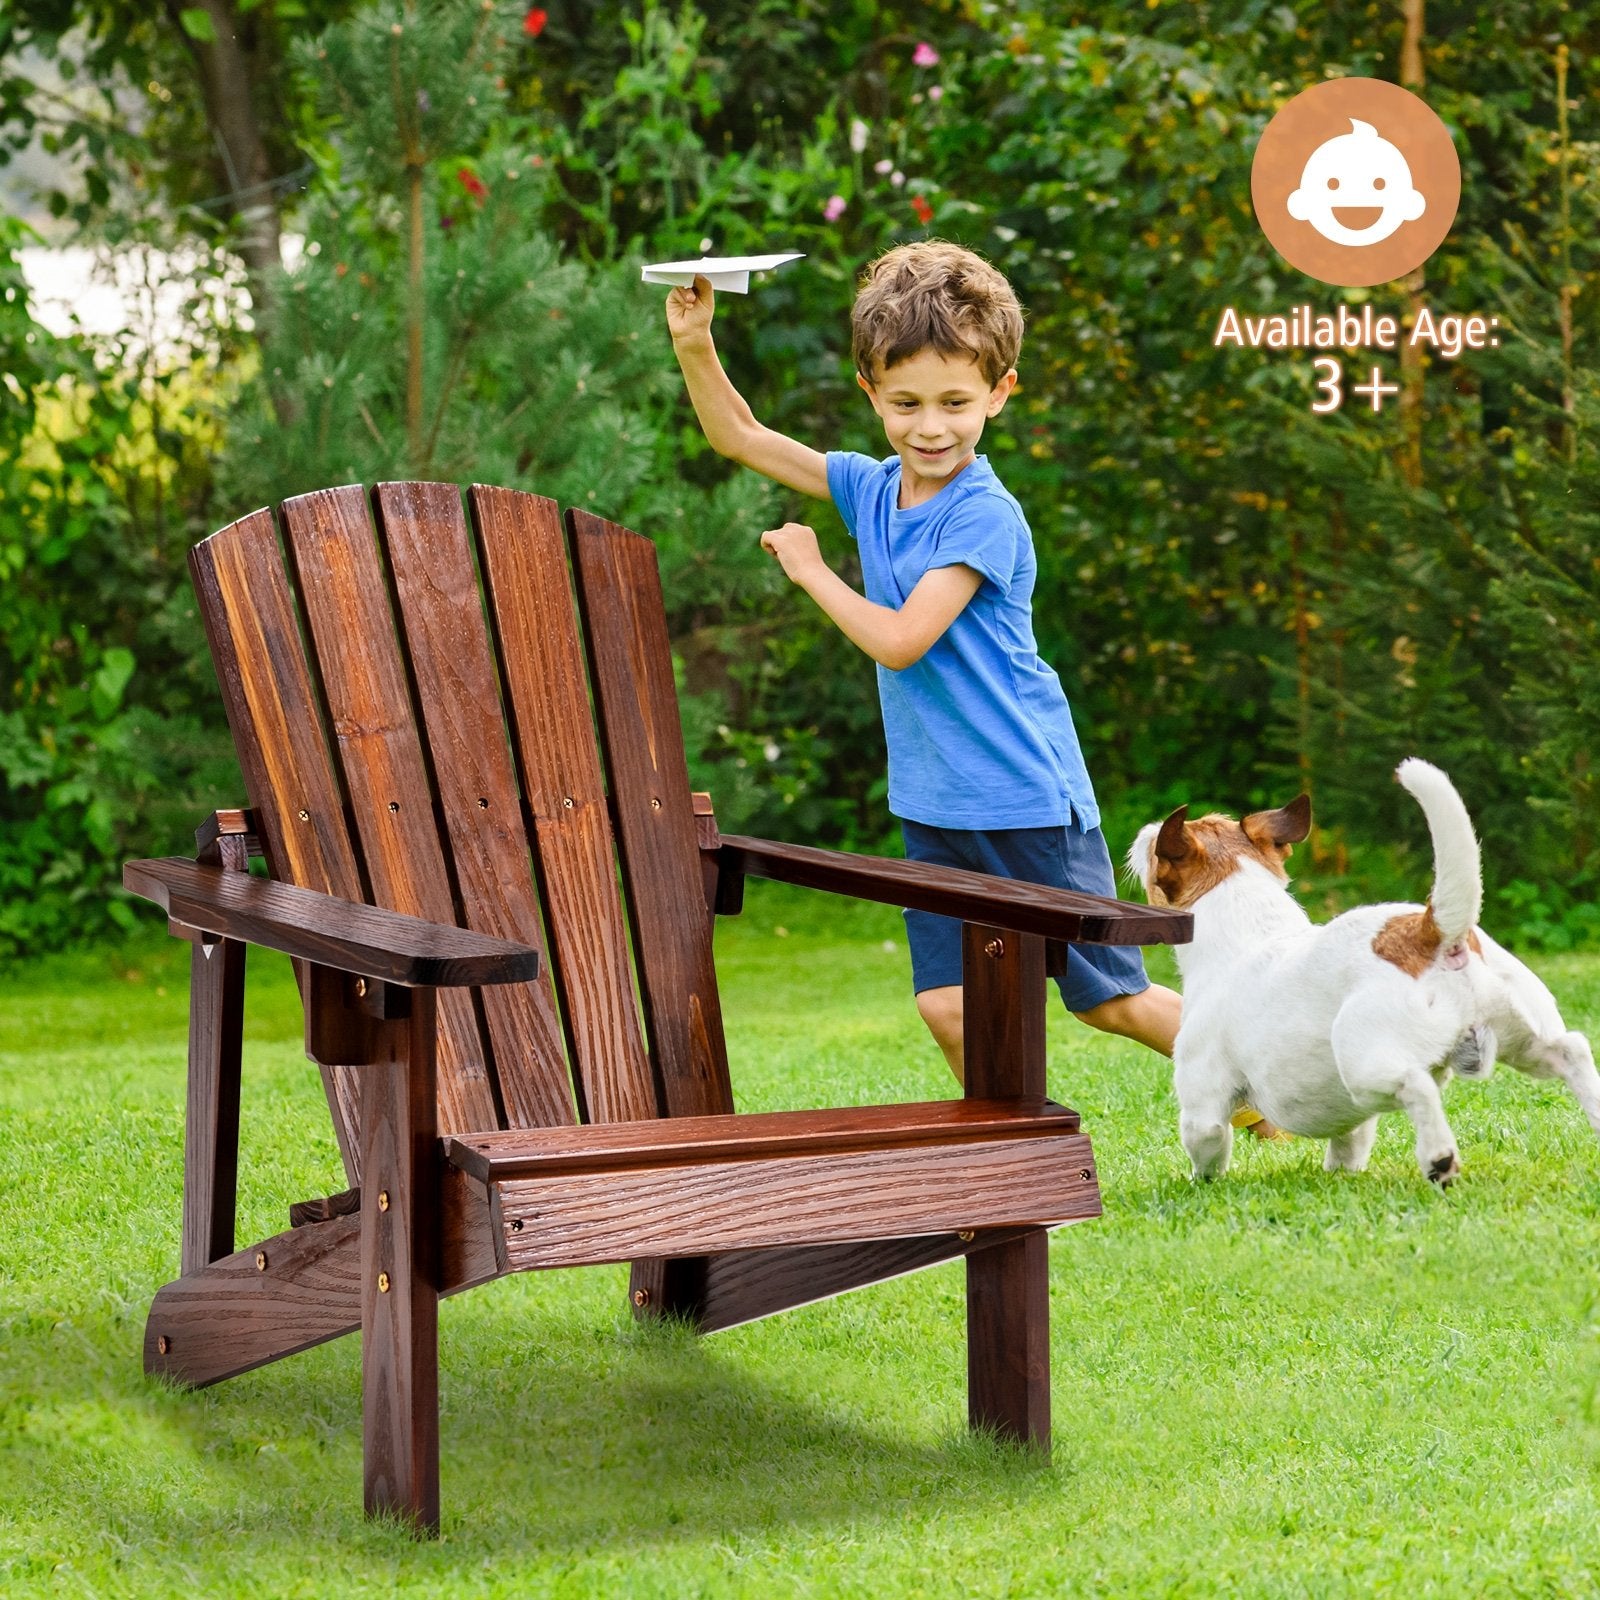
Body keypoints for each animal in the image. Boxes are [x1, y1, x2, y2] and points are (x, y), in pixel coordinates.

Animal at [1126, 755, 1600, 1184]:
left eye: (1153, 850)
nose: (1145, 830)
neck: (1246, 924)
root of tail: (1433, 931)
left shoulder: (1202, 1094)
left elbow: (1205, 1142)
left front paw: (1201, 1182)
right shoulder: (1350, 1122)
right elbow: (1350, 1142)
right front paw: (1341, 1175)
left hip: (1364, 1060)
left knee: (1416, 1085)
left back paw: (1439, 1159)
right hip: (1523, 1035)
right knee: (1571, 1049)